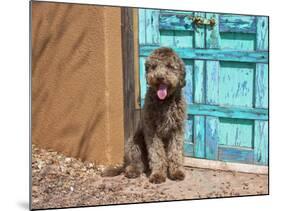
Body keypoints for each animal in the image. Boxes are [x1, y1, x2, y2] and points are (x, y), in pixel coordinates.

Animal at [102, 47, 186, 184]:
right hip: (134, 142)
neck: (164, 101)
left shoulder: (176, 130)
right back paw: (132, 171)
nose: (160, 77)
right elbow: (156, 154)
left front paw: (176, 172)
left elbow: (175, 152)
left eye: (169, 66)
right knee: (136, 162)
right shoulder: (152, 131)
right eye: (154, 66)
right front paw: (157, 174)